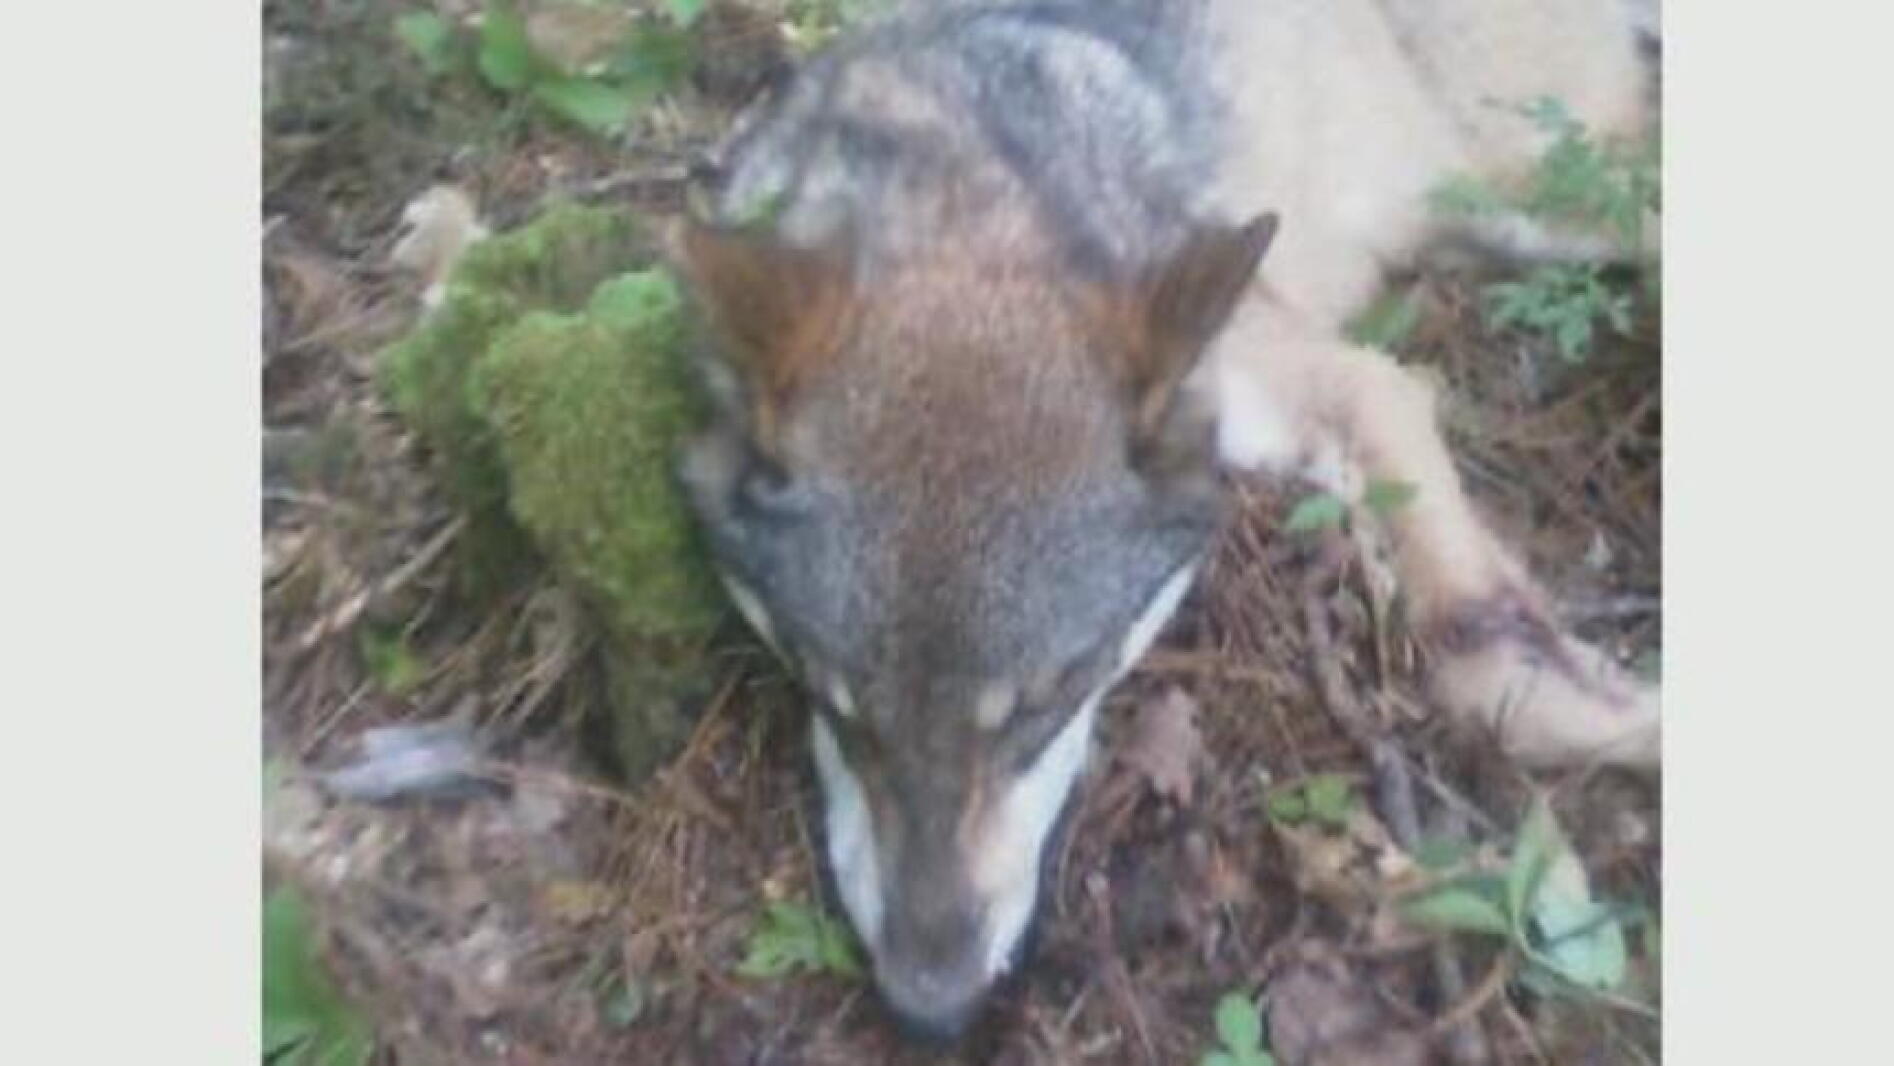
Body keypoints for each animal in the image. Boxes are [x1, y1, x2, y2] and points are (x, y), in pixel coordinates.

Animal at [667, 0, 1660, 1040]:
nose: (931, 1010)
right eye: (835, 706)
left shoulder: (1352, 382)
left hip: (1546, 196)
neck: (967, 208)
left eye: (1051, 698)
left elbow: (1486, 663)